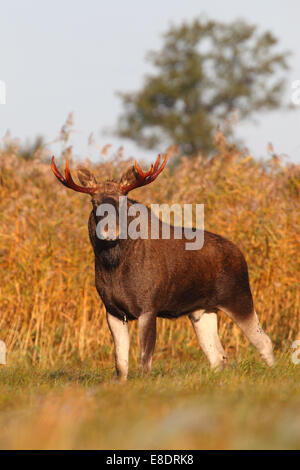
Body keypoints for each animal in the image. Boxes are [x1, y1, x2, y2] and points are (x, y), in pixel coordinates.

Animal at [51, 152, 274, 380]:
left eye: (122, 200)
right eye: (94, 202)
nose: (109, 231)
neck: (114, 268)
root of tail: (240, 253)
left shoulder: (149, 306)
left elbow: (144, 362)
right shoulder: (112, 311)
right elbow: (120, 365)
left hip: (239, 296)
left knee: (264, 341)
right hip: (202, 310)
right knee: (218, 355)